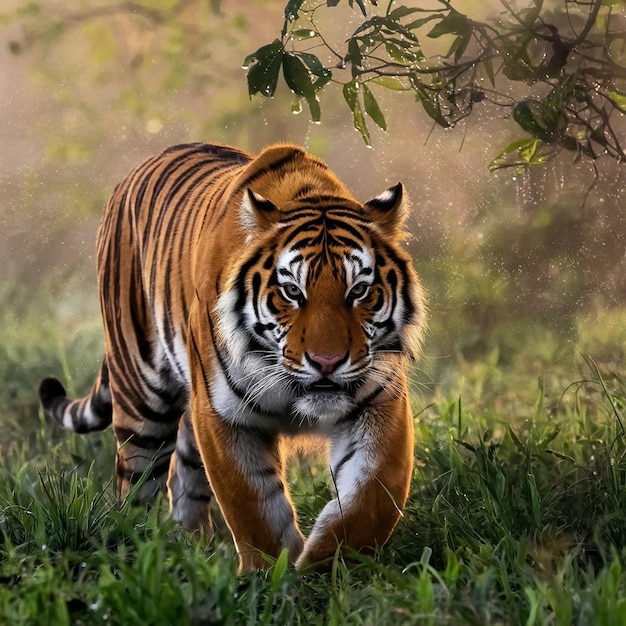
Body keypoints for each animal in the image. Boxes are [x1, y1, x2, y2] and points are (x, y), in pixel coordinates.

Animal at [39, 141, 426, 572]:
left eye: (358, 290)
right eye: (292, 292)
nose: (326, 362)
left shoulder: (378, 402)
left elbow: (371, 496)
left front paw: (328, 564)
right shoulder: (225, 415)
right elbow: (253, 506)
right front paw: (274, 574)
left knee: (182, 475)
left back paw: (194, 547)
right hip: (142, 402)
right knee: (134, 485)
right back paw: (133, 548)